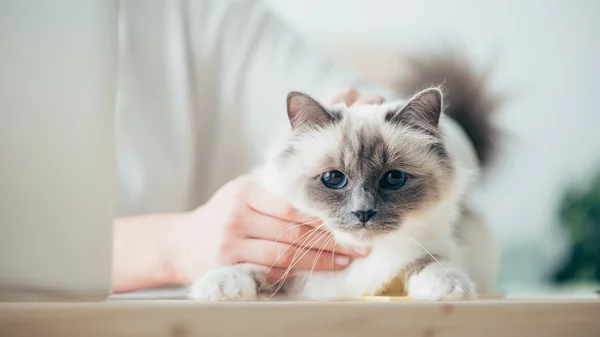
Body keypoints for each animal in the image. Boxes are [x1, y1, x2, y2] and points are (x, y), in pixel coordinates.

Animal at [190, 53, 500, 300]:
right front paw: (219, 286)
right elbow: (250, 267)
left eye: (393, 179)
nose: (363, 213)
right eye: (333, 179)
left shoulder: (430, 252)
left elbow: (433, 264)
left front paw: (451, 289)